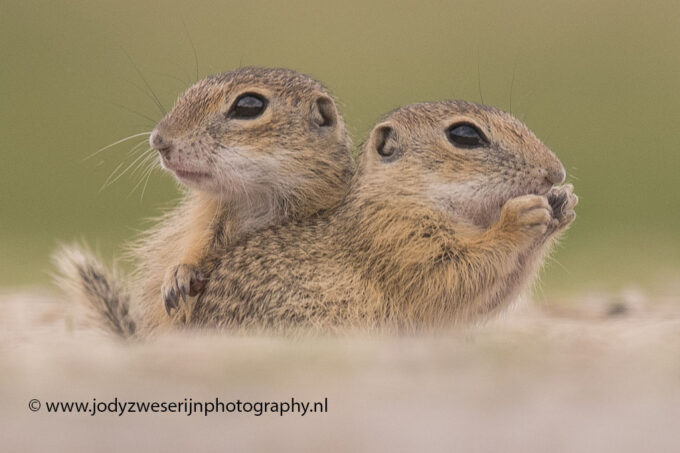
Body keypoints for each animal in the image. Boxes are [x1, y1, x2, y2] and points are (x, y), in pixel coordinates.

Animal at [55, 68, 354, 336]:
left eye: (249, 106)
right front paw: (178, 275)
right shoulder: (203, 225)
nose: (158, 140)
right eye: (188, 93)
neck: (255, 202)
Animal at [193, 100, 580, 330]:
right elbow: (452, 276)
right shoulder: (398, 237)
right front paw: (519, 218)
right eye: (465, 134)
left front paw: (564, 203)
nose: (556, 172)